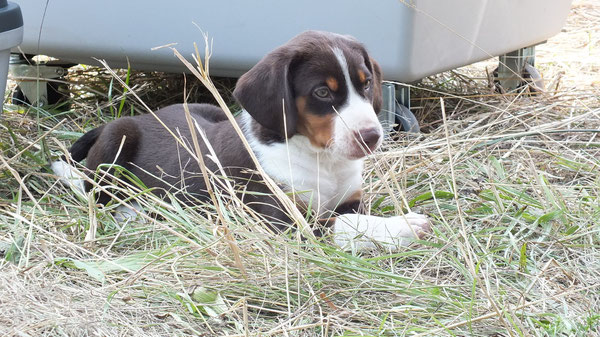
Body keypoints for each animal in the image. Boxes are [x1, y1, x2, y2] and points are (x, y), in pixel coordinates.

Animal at [52, 30, 432, 248]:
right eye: (322, 92)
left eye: (366, 84)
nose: (372, 136)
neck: (322, 160)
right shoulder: (283, 221)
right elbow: (344, 225)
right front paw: (405, 226)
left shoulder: (351, 199)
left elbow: (353, 216)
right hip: (116, 140)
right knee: (94, 193)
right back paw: (132, 210)